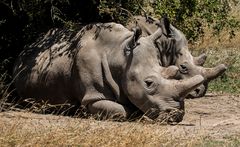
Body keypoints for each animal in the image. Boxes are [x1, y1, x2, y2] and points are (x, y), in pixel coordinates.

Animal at [12, 22, 204, 122]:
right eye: (149, 83)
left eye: (173, 70)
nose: (176, 115)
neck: (118, 55)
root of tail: (26, 48)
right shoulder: (93, 95)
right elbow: (120, 110)